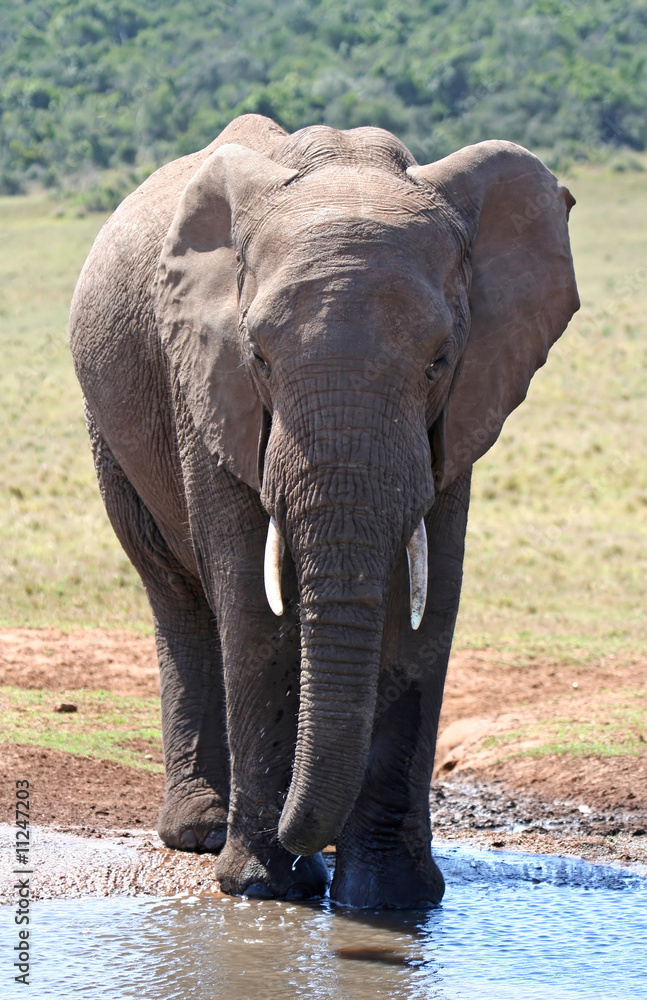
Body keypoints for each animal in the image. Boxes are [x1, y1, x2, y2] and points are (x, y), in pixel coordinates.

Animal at [70, 113, 578, 908]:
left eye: (437, 362)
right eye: (258, 357)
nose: (296, 835)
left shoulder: (465, 403)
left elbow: (428, 604)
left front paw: (391, 899)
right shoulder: (207, 385)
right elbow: (254, 604)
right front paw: (263, 887)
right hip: (112, 433)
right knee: (177, 595)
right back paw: (202, 833)